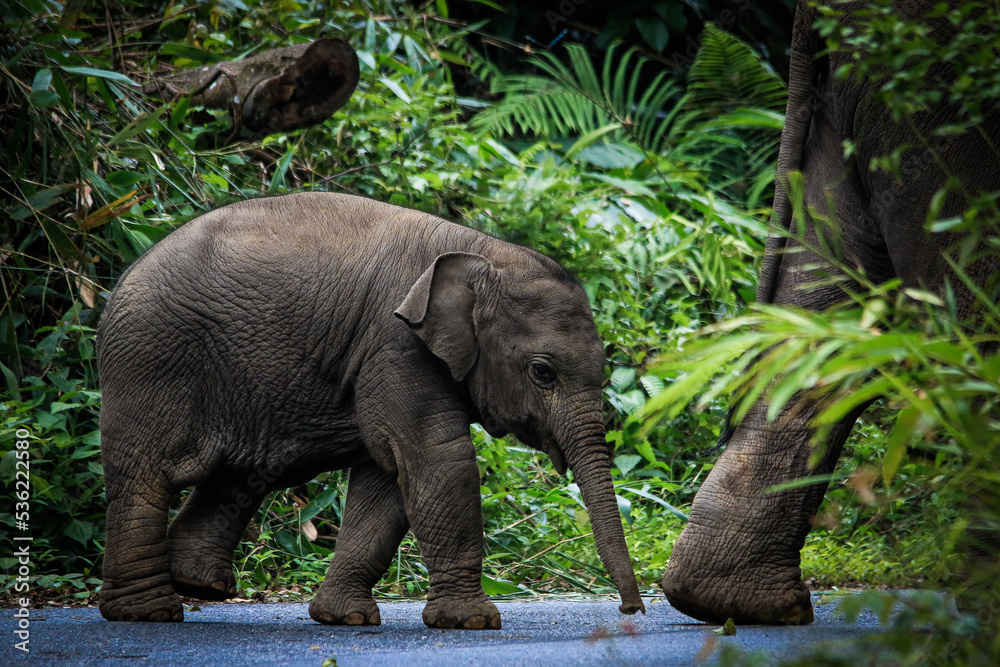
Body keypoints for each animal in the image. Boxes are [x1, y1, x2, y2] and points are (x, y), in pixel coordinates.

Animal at [96, 191, 646, 627]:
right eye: (542, 372)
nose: (630, 610)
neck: (484, 251)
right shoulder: (395, 344)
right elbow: (435, 460)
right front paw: (471, 623)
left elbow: (388, 479)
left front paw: (345, 618)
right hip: (151, 358)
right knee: (147, 474)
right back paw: (148, 612)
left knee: (240, 475)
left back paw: (199, 587)